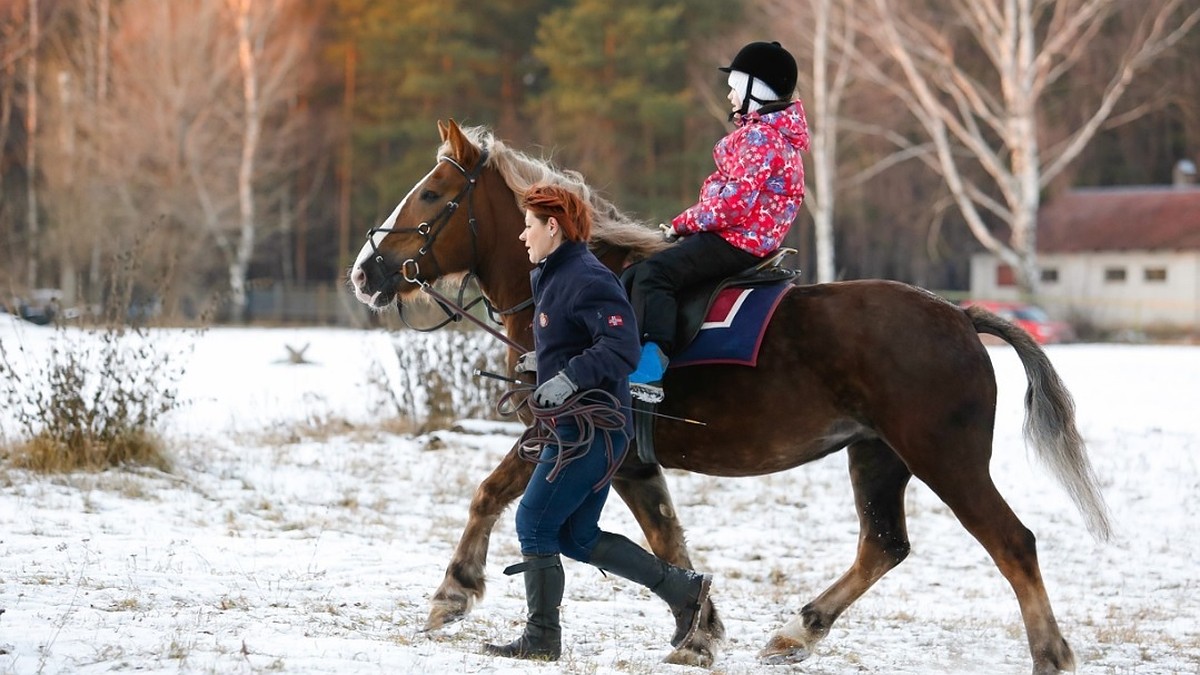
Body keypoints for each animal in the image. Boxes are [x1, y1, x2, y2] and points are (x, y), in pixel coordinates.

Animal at [345, 118, 1104, 667]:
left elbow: (491, 492)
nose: (366, 271)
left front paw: (453, 591)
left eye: (433, 195)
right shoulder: (631, 463)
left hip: (945, 458)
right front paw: (700, 628)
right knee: (883, 546)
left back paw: (1050, 653)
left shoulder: (562, 434)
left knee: (1013, 541)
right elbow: (667, 540)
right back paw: (799, 630)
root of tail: (960, 316)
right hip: (877, 455)